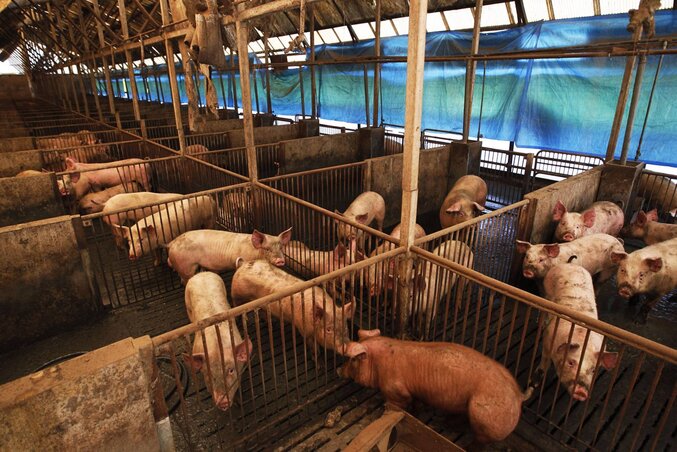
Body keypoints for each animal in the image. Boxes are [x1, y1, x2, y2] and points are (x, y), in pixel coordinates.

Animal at [181, 270, 252, 412]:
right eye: (208, 373)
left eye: (231, 370)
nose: (222, 401)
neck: (217, 347)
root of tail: (202, 274)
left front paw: (239, 403)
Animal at [231, 258, 360, 356]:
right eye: (328, 329)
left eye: (345, 325)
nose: (349, 347)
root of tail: (242, 264)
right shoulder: (303, 329)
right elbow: (312, 346)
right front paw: (317, 360)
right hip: (236, 295)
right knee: (236, 305)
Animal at [336, 328, 532, 448]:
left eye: (352, 359)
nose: (339, 370)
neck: (378, 363)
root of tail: (518, 395)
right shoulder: (414, 392)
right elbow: (417, 404)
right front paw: (417, 411)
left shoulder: (396, 392)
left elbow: (399, 405)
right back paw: (445, 422)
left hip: (484, 417)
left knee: (480, 442)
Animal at [540, 264, 616, 400]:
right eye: (571, 362)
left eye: (593, 370)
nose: (581, 391)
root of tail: (571, 264)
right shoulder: (547, 340)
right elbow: (544, 360)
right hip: (546, 289)